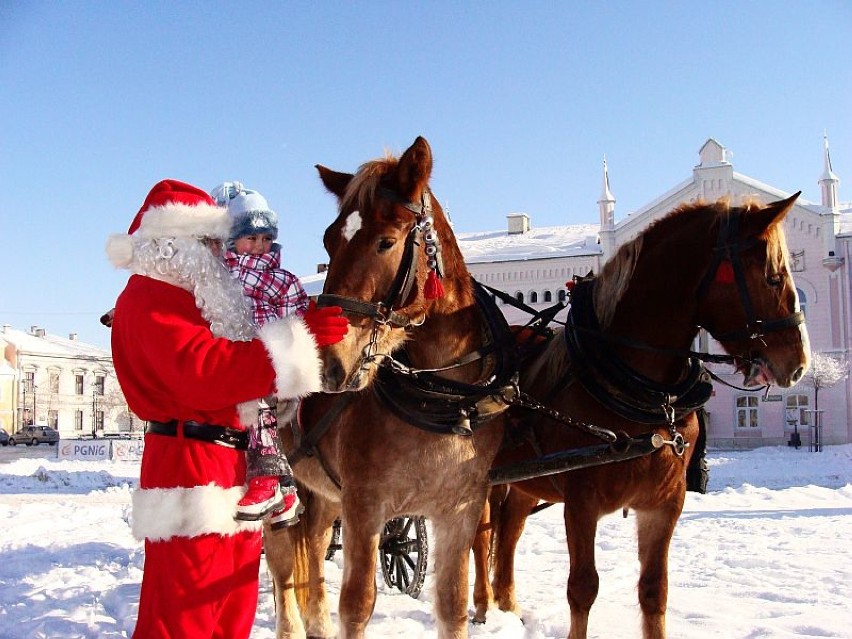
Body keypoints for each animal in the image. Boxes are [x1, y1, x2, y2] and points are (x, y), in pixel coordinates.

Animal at [266, 136, 516, 639]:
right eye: (329, 240)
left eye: (386, 241)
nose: (325, 363)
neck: (442, 400)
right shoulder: (365, 507)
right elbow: (358, 603)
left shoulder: (460, 511)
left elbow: (452, 604)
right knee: (282, 565)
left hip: (322, 494)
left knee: (314, 551)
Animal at [472, 192, 812, 636]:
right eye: (772, 276)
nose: (799, 362)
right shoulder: (581, 503)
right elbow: (582, 588)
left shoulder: (664, 503)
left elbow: (655, 591)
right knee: (479, 536)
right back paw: (480, 605)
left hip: (526, 479)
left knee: (509, 528)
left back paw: (508, 604)